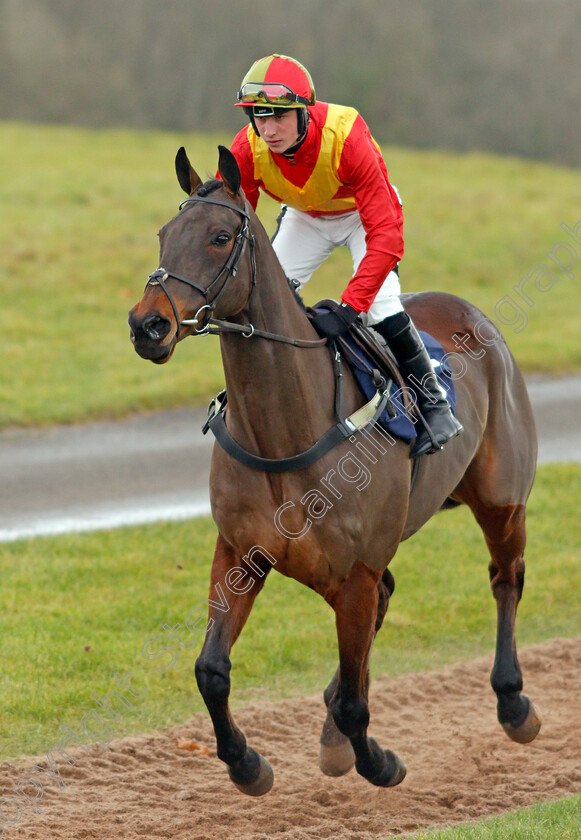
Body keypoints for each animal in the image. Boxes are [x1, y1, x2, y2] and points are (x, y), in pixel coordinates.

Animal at [127, 144, 540, 796]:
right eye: (165, 234)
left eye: (220, 237)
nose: (148, 325)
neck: (283, 431)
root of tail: (470, 311)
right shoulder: (242, 552)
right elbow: (211, 670)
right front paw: (248, 764)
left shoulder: (355, 573)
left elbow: (353, 701)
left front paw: (379, 761)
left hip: (501, 500)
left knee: (506, 578)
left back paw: (513, 703)